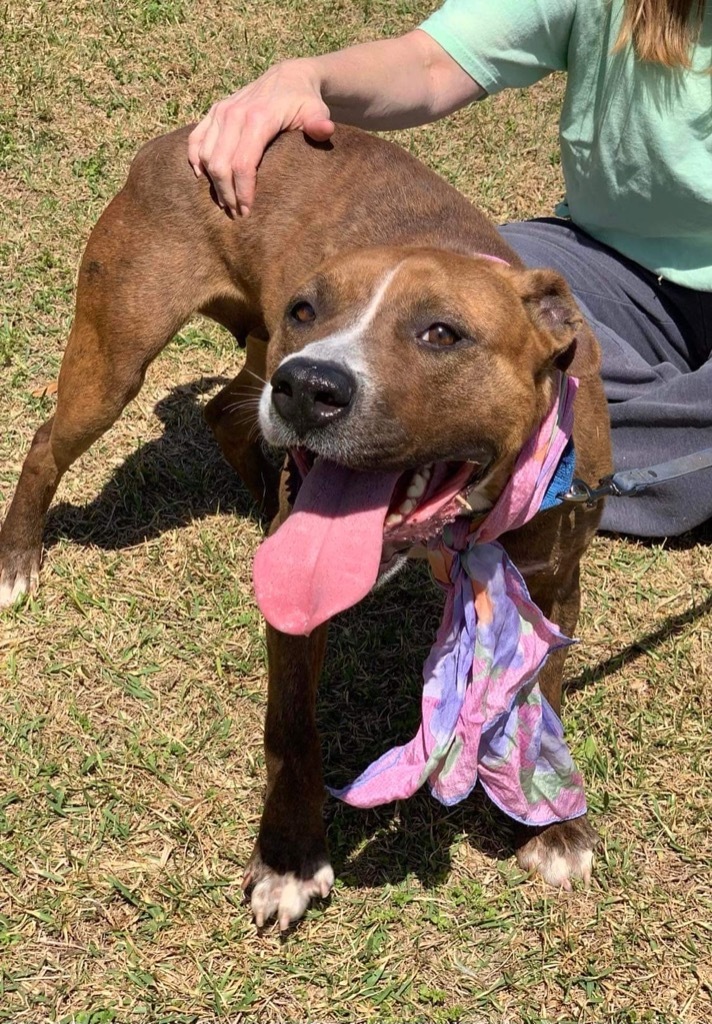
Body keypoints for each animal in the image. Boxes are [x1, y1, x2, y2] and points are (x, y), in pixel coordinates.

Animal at [0, 121, 614, 929]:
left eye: (441, 333)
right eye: (306, 310)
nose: (308, 385)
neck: (462, 527)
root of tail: (174, 138)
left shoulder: (549, 583)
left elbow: (543, 695)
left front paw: (555, 826)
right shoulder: (300, 609)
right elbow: (292, 728)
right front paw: (288, 858)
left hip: (244, 359)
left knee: (224, 411)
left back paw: (265, 491)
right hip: (121, 354)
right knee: (50, 439)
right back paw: (17, 558)